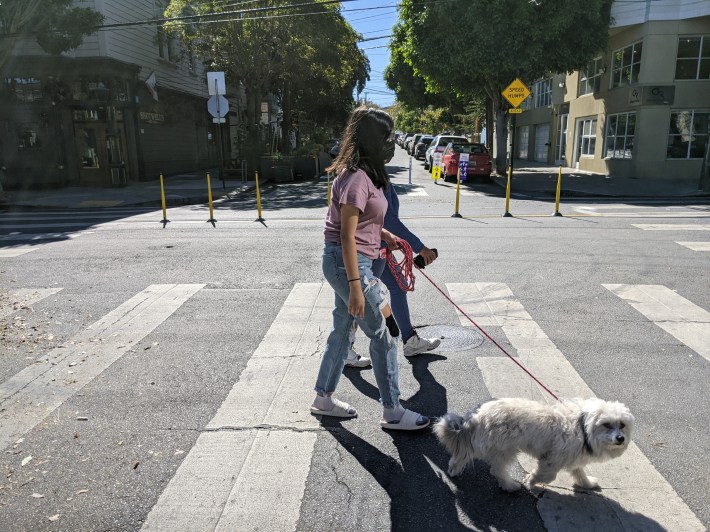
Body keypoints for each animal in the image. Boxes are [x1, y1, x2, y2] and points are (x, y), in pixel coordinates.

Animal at [436, 396, 636, 492]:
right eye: (607, 424)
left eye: (622, 425)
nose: (620, 438)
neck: (582, 428)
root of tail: (476, 416)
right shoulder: (551, 460)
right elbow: (547, 476)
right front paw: (531, 480)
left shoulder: (573, 458)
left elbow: (579, 472)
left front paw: (587, 483)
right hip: (504, 449)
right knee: (496, 470)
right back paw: (509, 485)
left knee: (462, 454)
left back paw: (454, 469)